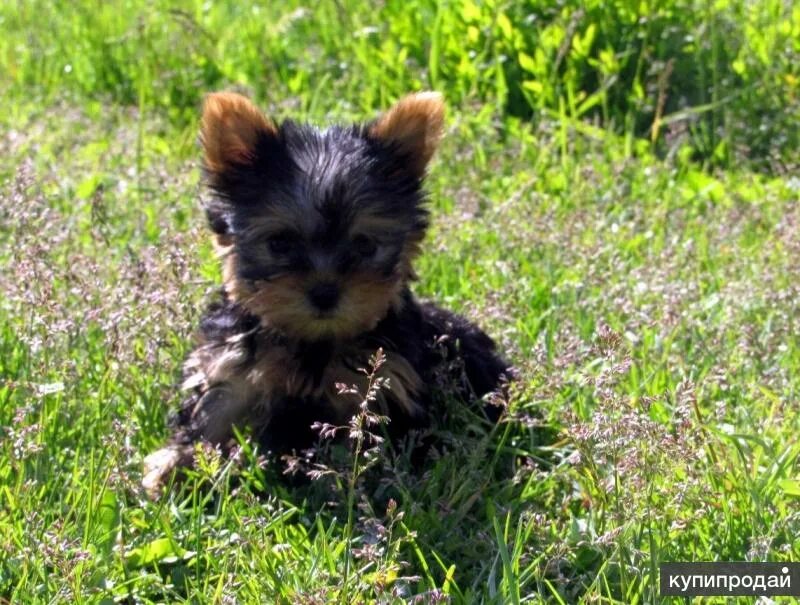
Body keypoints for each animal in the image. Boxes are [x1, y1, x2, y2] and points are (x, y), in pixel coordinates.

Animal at [144, 91, 512, 496]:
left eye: (365, 245)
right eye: (280, 243)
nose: (324, 293)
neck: (313, 343)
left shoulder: (382, 386)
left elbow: (364, 441)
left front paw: (344, 482)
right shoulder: (231, 366)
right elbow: (213, 410)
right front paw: (177, 463)